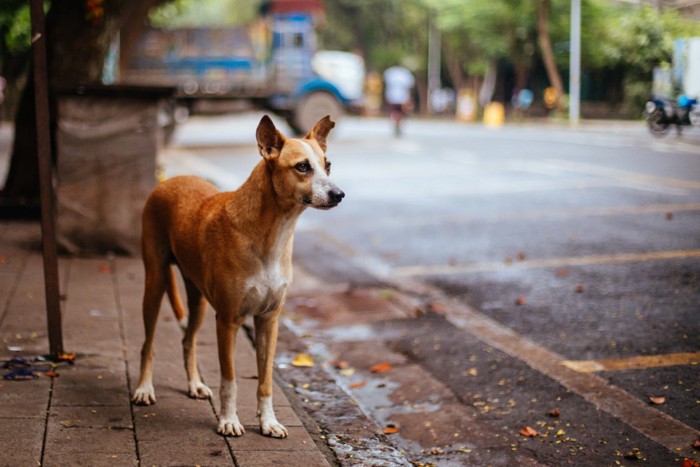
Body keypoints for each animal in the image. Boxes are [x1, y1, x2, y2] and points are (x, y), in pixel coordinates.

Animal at [132, 114, 344, 438]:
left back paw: (195, 384)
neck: (273, 234)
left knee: (188, 341)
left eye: (327, 165)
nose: (339, 195)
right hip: (154, 283)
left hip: (198, 301)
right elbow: (229, 381)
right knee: (148, 344)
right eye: (302, 167)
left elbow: (265, 381)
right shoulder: (228, 321)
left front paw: (268, 422)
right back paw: (144, 389)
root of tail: (169, 180)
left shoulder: (269, 321)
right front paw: (228, 420)